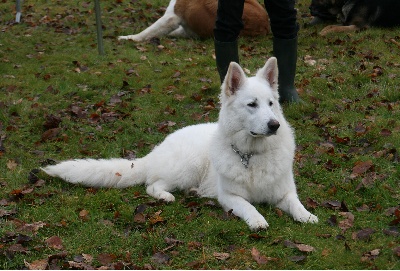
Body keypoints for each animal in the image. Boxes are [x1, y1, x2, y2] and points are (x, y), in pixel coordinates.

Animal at [42, 58, 318, 232]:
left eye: (271, 104)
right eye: (252, 104)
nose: (274, 125)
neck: (251, 154)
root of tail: (156, 151)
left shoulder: (284, 193)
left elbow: (296, 203)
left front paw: (307, 215)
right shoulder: (230, 197)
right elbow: (248, 206)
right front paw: (257, 220)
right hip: (188, 168)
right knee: (152, 185)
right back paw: (166, 196)